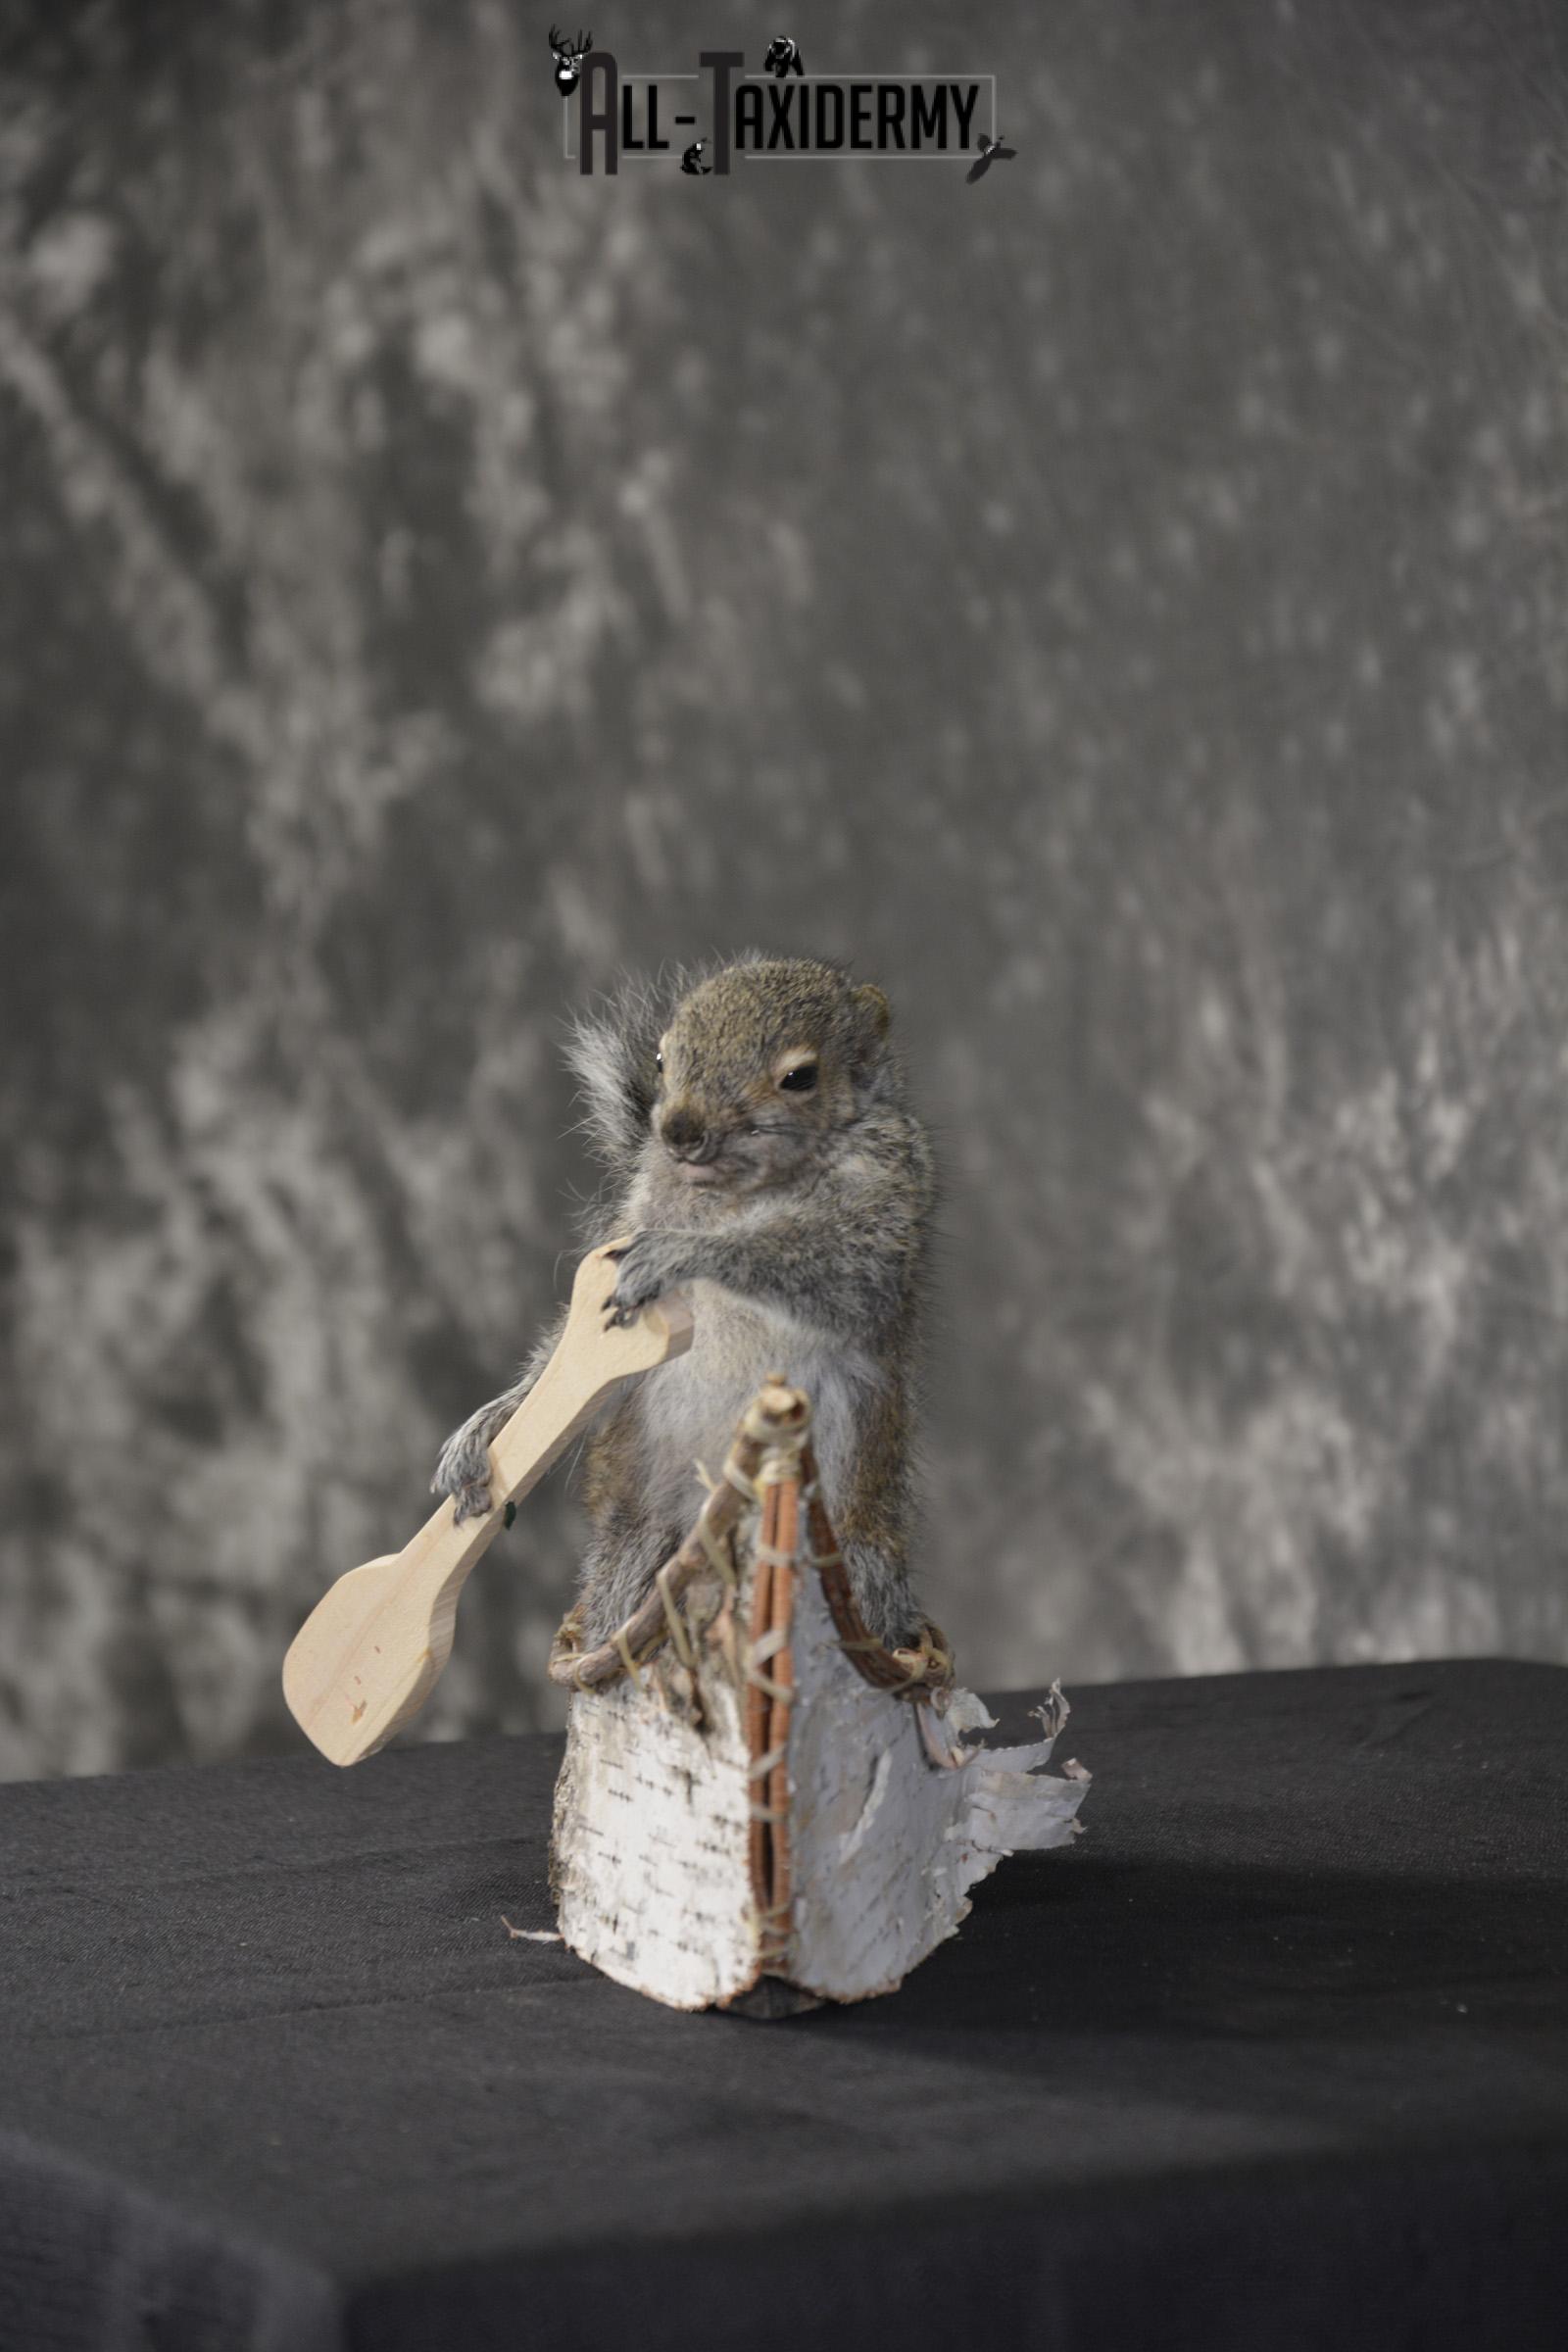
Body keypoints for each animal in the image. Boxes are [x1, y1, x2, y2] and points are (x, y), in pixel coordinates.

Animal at [431, 954, 934, 1650]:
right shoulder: (633, 1216)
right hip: (640, 1540)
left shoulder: (888, 1201)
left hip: (851, 1546)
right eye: (663, 1058)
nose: (678, 1131)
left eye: (800, 1077)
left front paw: (678, 1252)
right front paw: (490, 1424)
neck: (735, 1193)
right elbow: (560, 1367)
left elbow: (842, 1276)